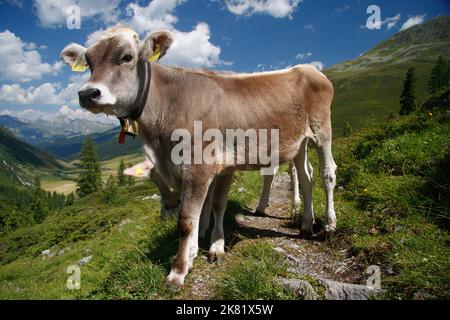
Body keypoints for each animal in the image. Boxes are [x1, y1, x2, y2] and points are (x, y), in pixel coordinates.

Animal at [62, 26, 338, 288]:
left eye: (127, 57)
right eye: (89, 62)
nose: (87, 93)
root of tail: (309, 69)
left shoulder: (203, 164)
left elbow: (191, 216)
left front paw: (180, 270)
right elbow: (203, 208)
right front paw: (195, 250)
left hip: (322, 130)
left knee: (327, 174)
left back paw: (329, 225)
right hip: (298, 142)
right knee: (305, 177)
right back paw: (305, 224)